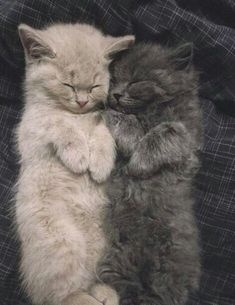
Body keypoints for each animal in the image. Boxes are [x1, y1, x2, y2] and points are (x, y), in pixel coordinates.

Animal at [15, 23, 134, 304]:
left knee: (92, 279)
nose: (81, 101)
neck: (77, 115)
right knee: (61, 294)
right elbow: (58, 123)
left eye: (94, 86)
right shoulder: (31, 128)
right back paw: (88, 298)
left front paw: (99, 163)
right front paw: (79, 155)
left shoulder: (104, 120)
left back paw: (106, 293)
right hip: (62, 243)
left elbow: (103, 131)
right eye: (67, 85)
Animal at [98, 42, 202, 304]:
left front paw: (138, 164)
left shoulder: (186, 139)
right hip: (117, 264)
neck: (149, 112)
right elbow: (124, 120)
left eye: (136, 81)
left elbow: (165, 131)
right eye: (114, 79)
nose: (116, 94)